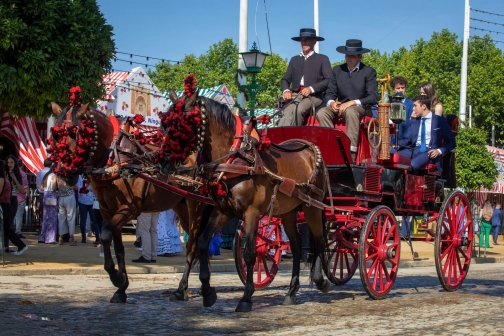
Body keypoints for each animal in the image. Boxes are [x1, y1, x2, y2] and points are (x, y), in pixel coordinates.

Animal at [49, 101, 211, 302]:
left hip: (196, 205)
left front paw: (116, 278)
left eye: (76, 133)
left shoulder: (130, 208)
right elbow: (118, 247)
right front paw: (121, 288)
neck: (114, 157)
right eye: (55, 135)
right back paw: (202, 287)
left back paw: (182, 289)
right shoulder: (107, 211)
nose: (65, 174)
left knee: (192, 246)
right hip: (181, 207)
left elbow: (104, 235)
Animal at [163, 90, 332, 312]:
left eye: (182, 123)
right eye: (165, 122)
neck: (235, 158)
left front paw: (246, 297)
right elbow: (202, 242)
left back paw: (321, 280)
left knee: (319, 241)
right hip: (289, 212)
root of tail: (311, 149)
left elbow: (251, 253)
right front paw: (207, 292)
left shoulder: (251, 212)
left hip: (312, 206)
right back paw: (291, 292)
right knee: (296, 247)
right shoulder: (223, 210)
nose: (163, 157)